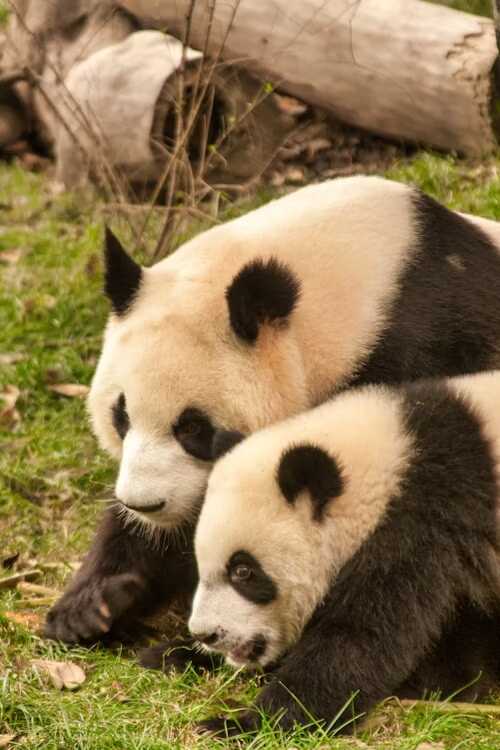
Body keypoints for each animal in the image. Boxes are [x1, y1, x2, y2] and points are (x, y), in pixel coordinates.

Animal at [189, 370, 500, 736]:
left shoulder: (420, 522)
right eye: (201, 565)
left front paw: (244, 723)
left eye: (243, 571)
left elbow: (361, 638)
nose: (205, 634)